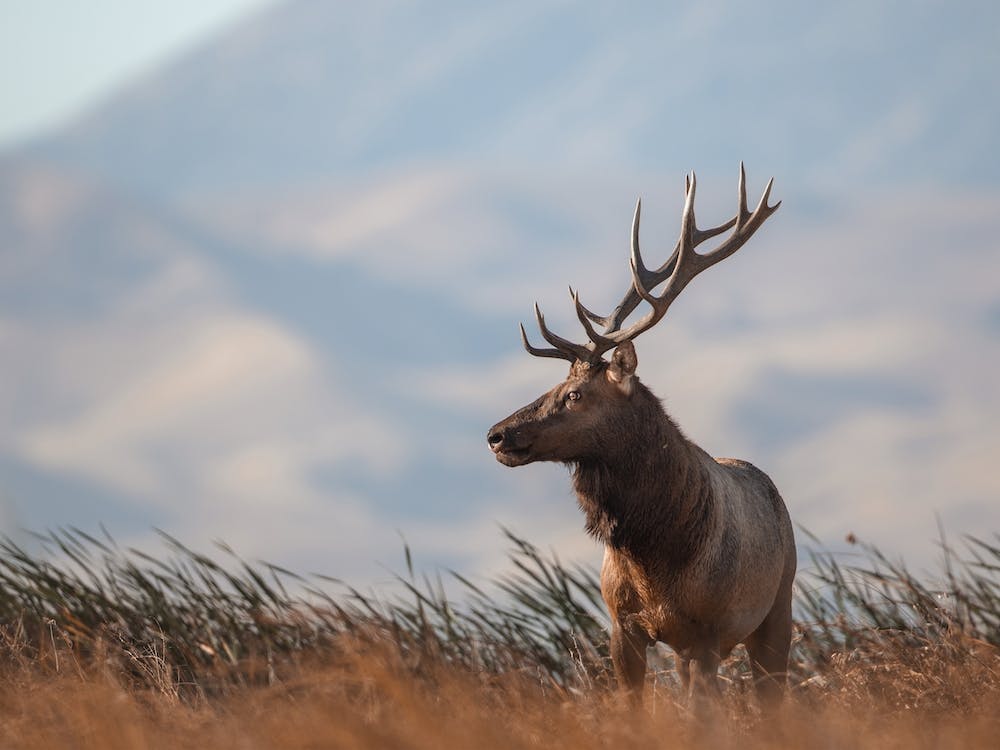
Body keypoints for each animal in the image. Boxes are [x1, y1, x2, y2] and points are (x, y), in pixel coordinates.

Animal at [487, 165, 795, 709]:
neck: (654, 562)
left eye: (575, 394)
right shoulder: (622, 627)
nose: (497, 435)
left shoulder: (707, 632)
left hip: (779, 610)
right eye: (554, 386)